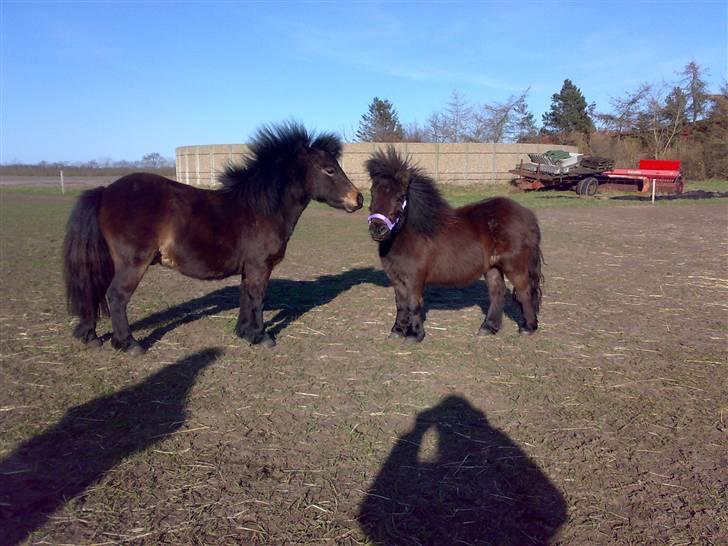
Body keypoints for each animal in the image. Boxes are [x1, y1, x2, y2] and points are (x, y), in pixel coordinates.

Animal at [61, 121, 362, 352]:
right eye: (329, 169)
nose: (357, 199)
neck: (260, 208)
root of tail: (106, 192)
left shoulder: (249, 268)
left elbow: (245, 297)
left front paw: (244, 332)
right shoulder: (260, 267)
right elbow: (258, 298)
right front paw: (261, 337)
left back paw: (91, 336)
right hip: (132, 264)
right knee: (116, 297)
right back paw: (129, 344)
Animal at [366, 144, 544, 340]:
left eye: (399, 197)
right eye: (372, 194)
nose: (378, 229)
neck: (411, 233)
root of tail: (527, 214)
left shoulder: (414, 278)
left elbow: (413, 303)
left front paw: (414, 334)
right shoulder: (397, 278)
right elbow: (400, 304)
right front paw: (397, 331)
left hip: (515, 266)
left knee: (524, 291)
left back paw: (528, 327)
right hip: (492, 267)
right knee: (497, 293)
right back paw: (488, 327)